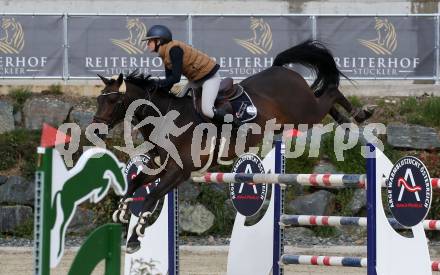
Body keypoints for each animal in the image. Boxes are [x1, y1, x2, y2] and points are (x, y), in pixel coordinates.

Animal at [93, 40, 374, 253]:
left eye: (114, 101)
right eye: (98, 100)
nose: (95, 129)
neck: (167, 120)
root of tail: (281, 70)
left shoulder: (180, 171)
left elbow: (150, 196)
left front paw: (134, 238)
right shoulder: (159, 165)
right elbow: (133, 185)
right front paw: (121, 215)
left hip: (304, 112)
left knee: (331, 92)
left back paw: (362, 113)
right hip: (300, 115)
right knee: (327, 98)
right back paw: (348, 121)